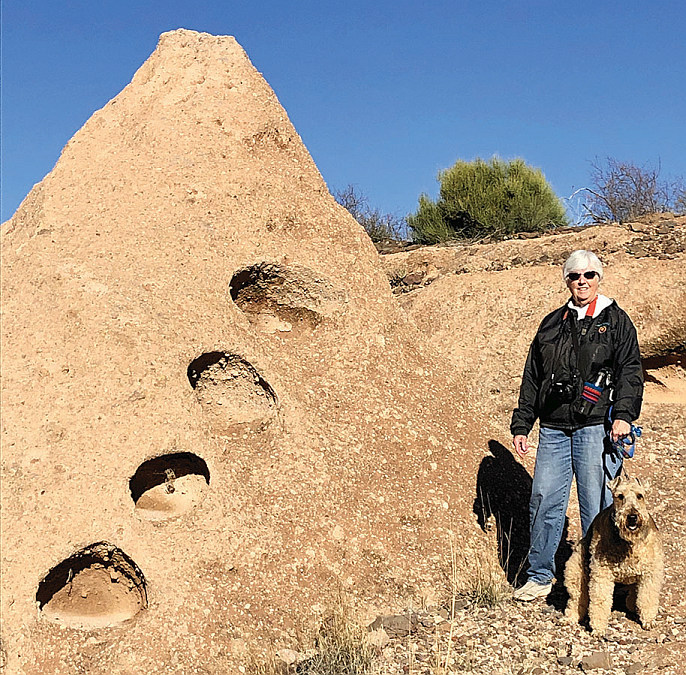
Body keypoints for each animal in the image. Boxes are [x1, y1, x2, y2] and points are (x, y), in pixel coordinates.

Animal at [564, 476, 668, 640]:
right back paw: (571, 618)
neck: (629, 542)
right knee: (576, 599)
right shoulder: (602, 573)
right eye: (620, 496)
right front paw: (598, 629)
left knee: (633, 594)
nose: (632, 517)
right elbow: (600, 601)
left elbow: (647, 597)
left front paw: (648, 621)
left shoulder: (651, 571)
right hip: (575, 570)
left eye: (640, 495)